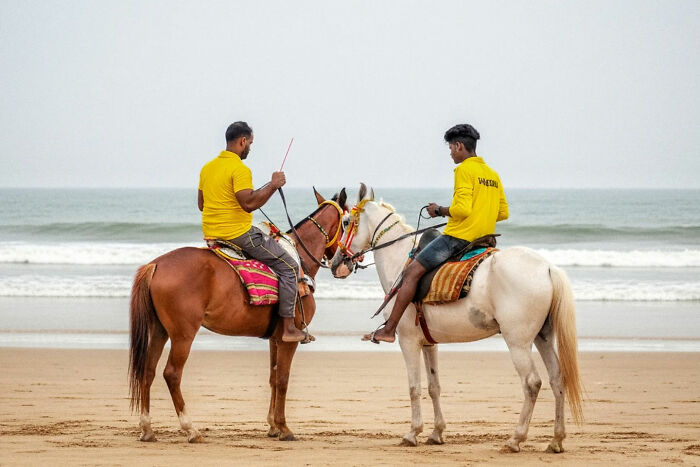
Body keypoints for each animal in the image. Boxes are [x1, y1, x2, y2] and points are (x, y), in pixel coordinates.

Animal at [129, 187, 347, 443]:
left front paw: (273, 425)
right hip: (183, 334)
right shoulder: (289, 339)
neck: (299, 259)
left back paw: (147, 429)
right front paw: (284, 428)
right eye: (347, 222)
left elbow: (273, 378)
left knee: (148, 372)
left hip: (160, 330)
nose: (349, 261)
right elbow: (283, 379)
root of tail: (156, 265)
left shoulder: (275, 338)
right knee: (172, 374)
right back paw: (190, 429)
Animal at [330, 185, 582, 453]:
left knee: (532, 383)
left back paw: (516, 438)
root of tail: (547, 268)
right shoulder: (428, 343)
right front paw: (436, 432)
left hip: (518, 341)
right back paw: (556, 439)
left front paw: (413, 433)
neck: (399, 258)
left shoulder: (408, 341)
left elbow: (414, 387)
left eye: (346, 222)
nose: (336, 263)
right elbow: (434, 387)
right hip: (542, 336)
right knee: (557, 379)